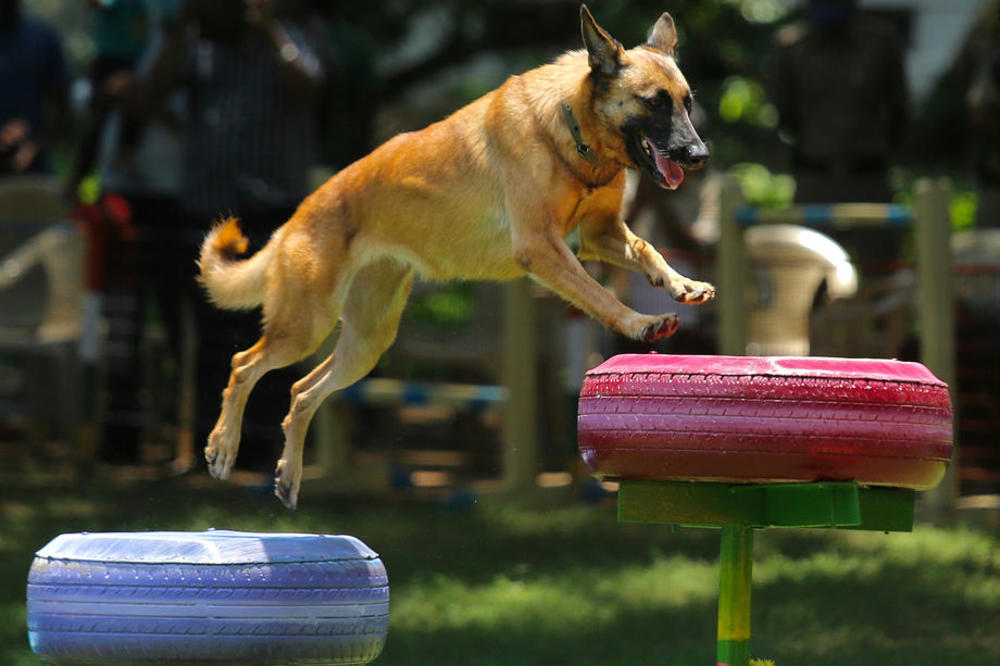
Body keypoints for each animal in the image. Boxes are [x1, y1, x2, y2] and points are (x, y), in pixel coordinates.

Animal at [197, 5, 712, 506]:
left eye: (687, 102)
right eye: (654, 102)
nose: (700, 154)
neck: (572, 130)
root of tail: (295, 217)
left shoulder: (601, 232)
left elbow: (647, 250)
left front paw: (681, 284)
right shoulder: (541, 247)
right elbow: (598, 294)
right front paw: (639, 323)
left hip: (366, 341)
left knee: (301, 392)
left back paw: (288, 477)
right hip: (307, 324)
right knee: (243, 364)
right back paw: (223, 449)